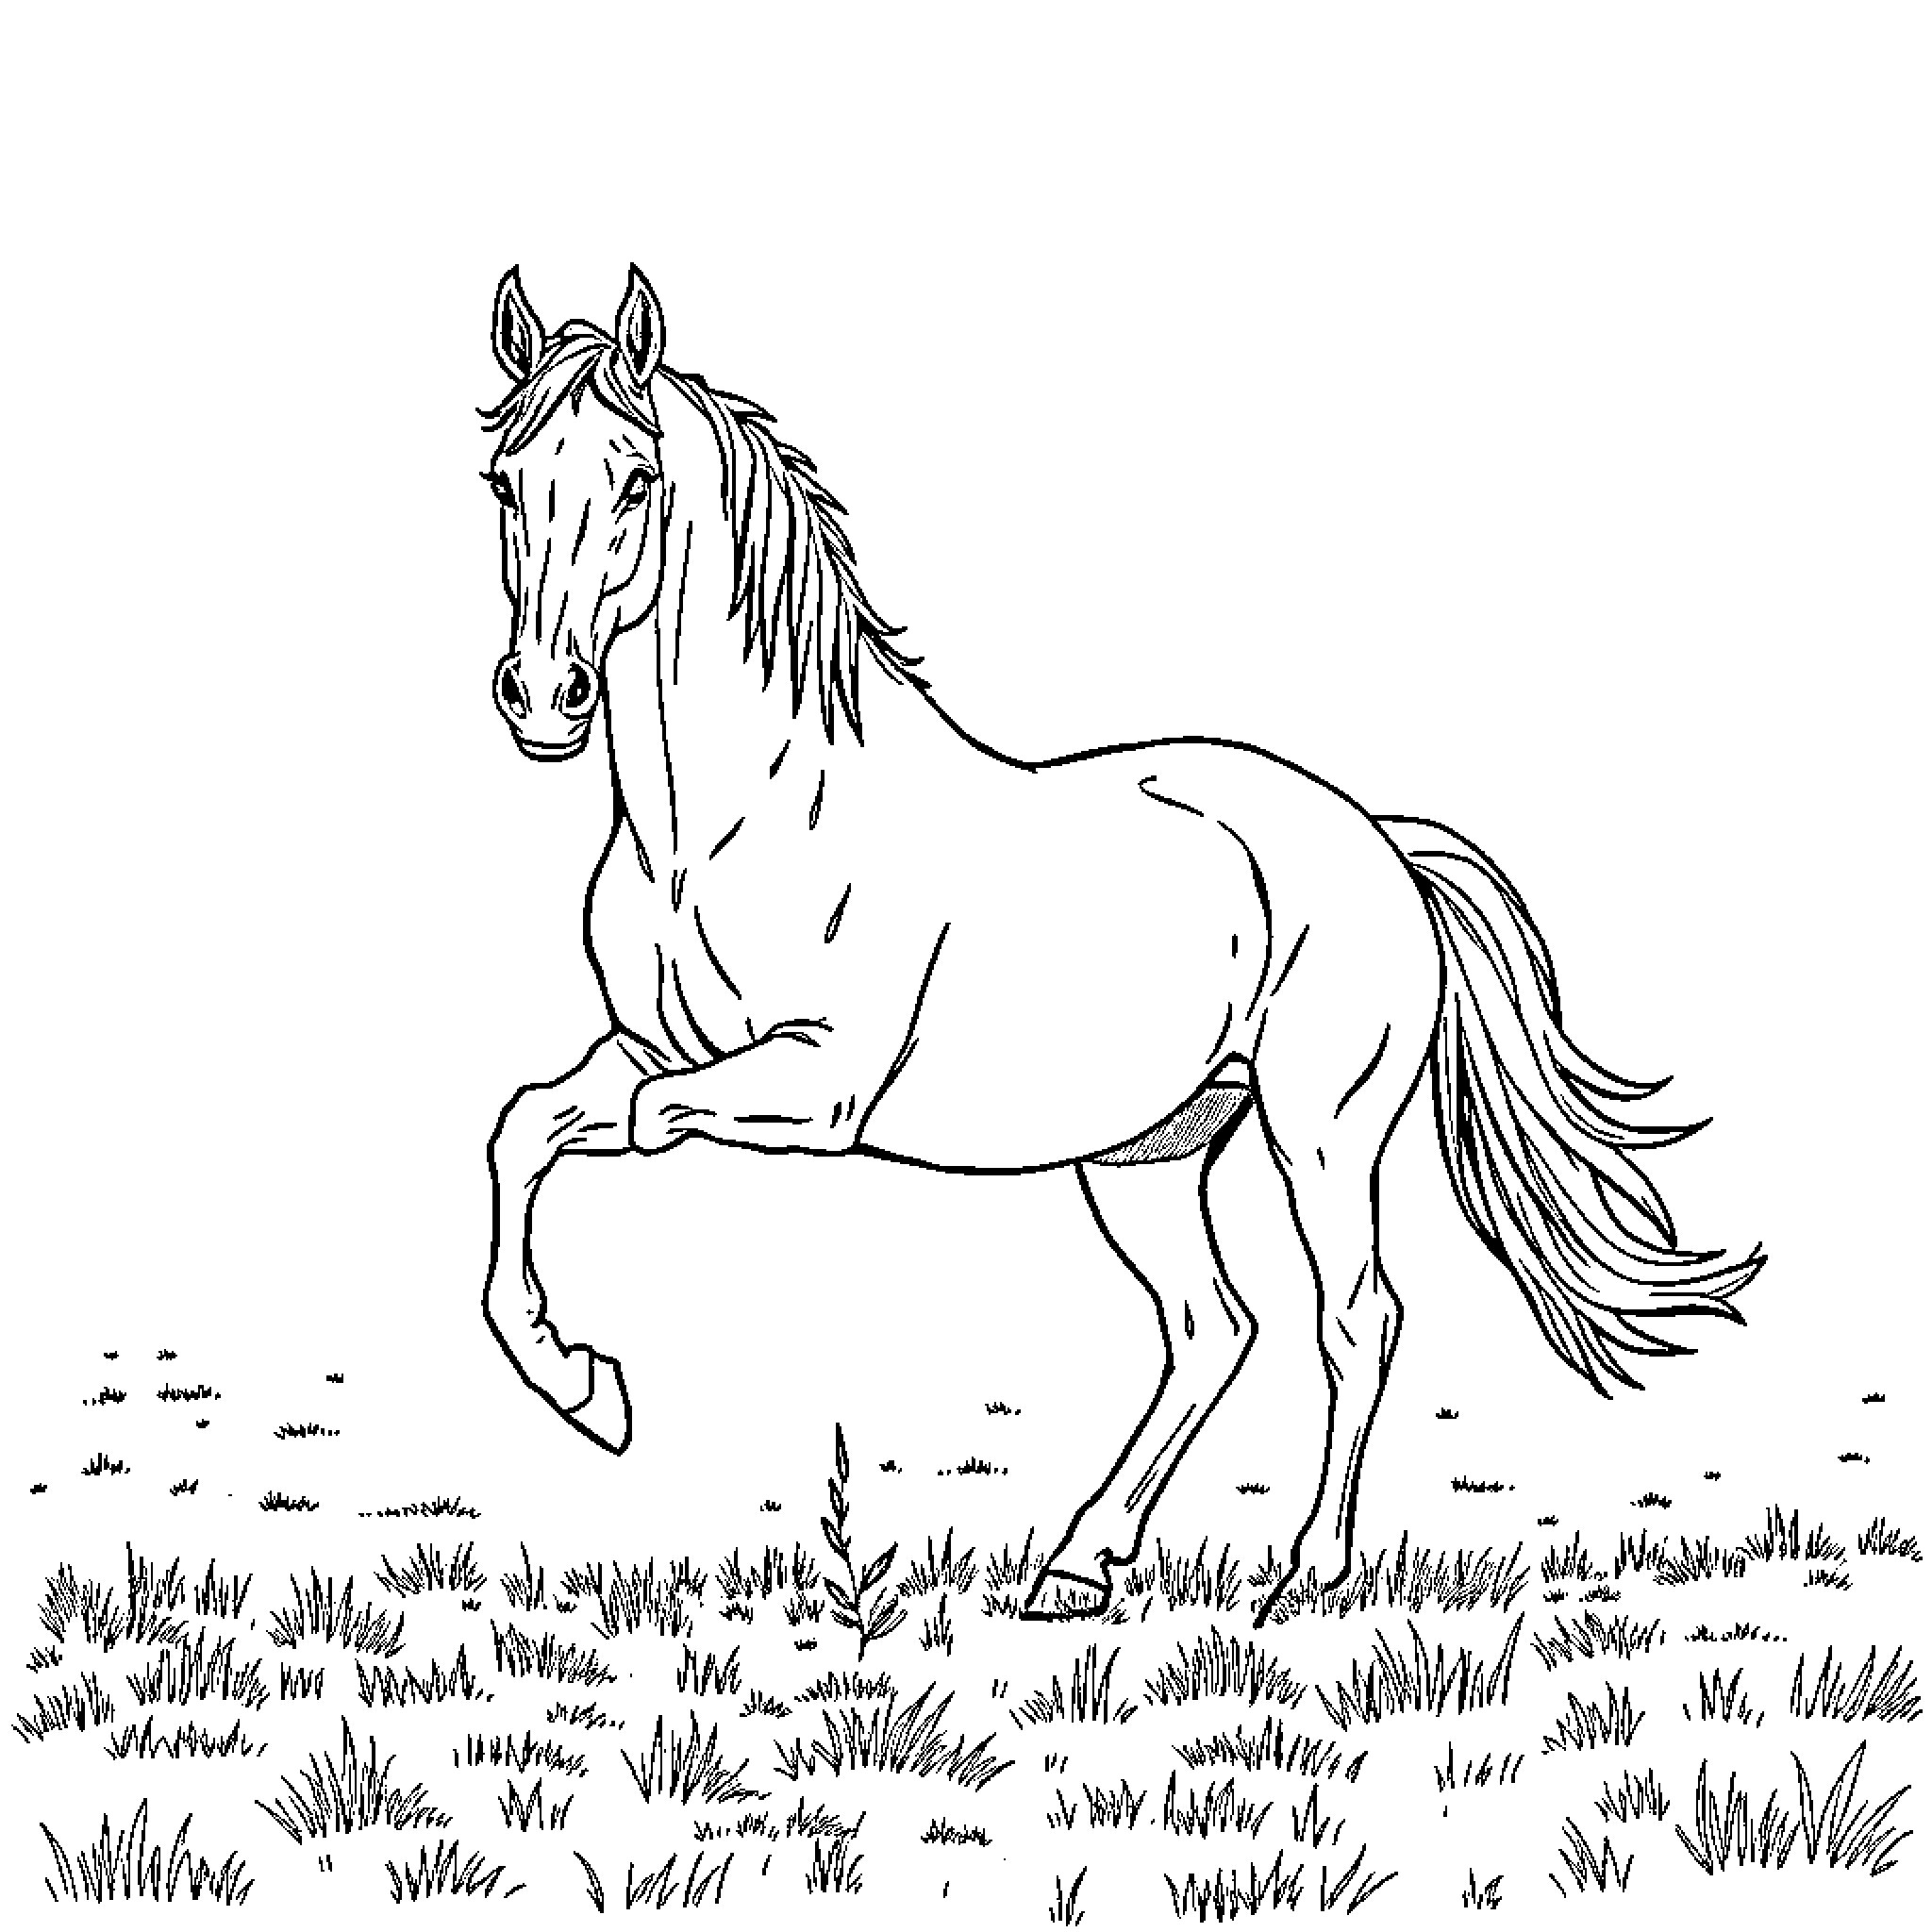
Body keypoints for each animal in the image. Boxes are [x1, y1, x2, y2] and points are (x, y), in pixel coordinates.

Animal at [476, 264, 1763, 1624]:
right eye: (504, 480)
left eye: (634, 480)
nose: (541, 697)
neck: (726, 822)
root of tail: (1379, 846)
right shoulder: (646, 1046)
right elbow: (528, 1128)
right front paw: (581, 1386)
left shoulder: (816, 1086)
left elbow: (645, 1122)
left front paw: (594, 1384)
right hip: (1149, 1152)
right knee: (1212, 1328)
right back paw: (1076, 1563)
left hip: (1319, 1134)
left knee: (1352, 1318)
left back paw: (1304, 1574)